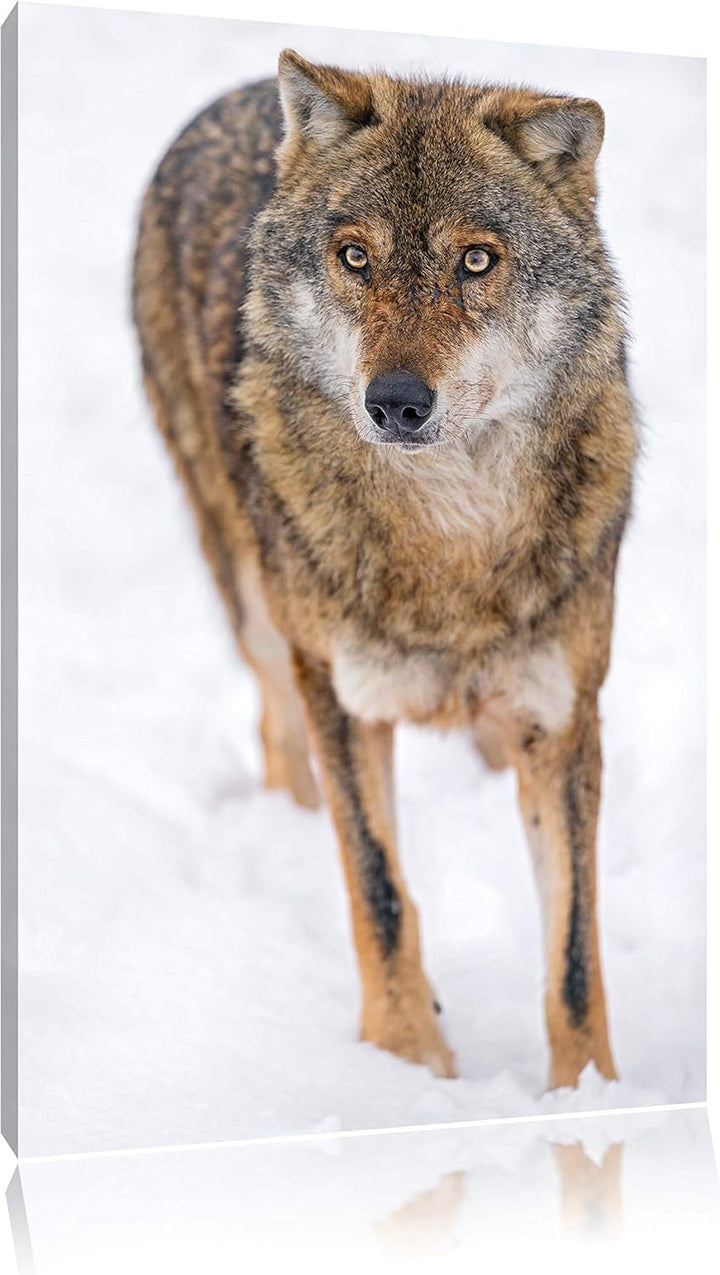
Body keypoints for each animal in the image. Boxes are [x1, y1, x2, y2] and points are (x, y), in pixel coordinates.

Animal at [133, 51, 637, 1087]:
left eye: (476, 260)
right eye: (355, 256)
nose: (396, 402)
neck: (451, 545)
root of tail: (240, 93)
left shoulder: (567, 715)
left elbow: (573, 955)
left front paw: (592, 1101)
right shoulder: (345, 697)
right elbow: (381, 891)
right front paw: (407, 1065)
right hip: (256, 604)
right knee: (277, 729)